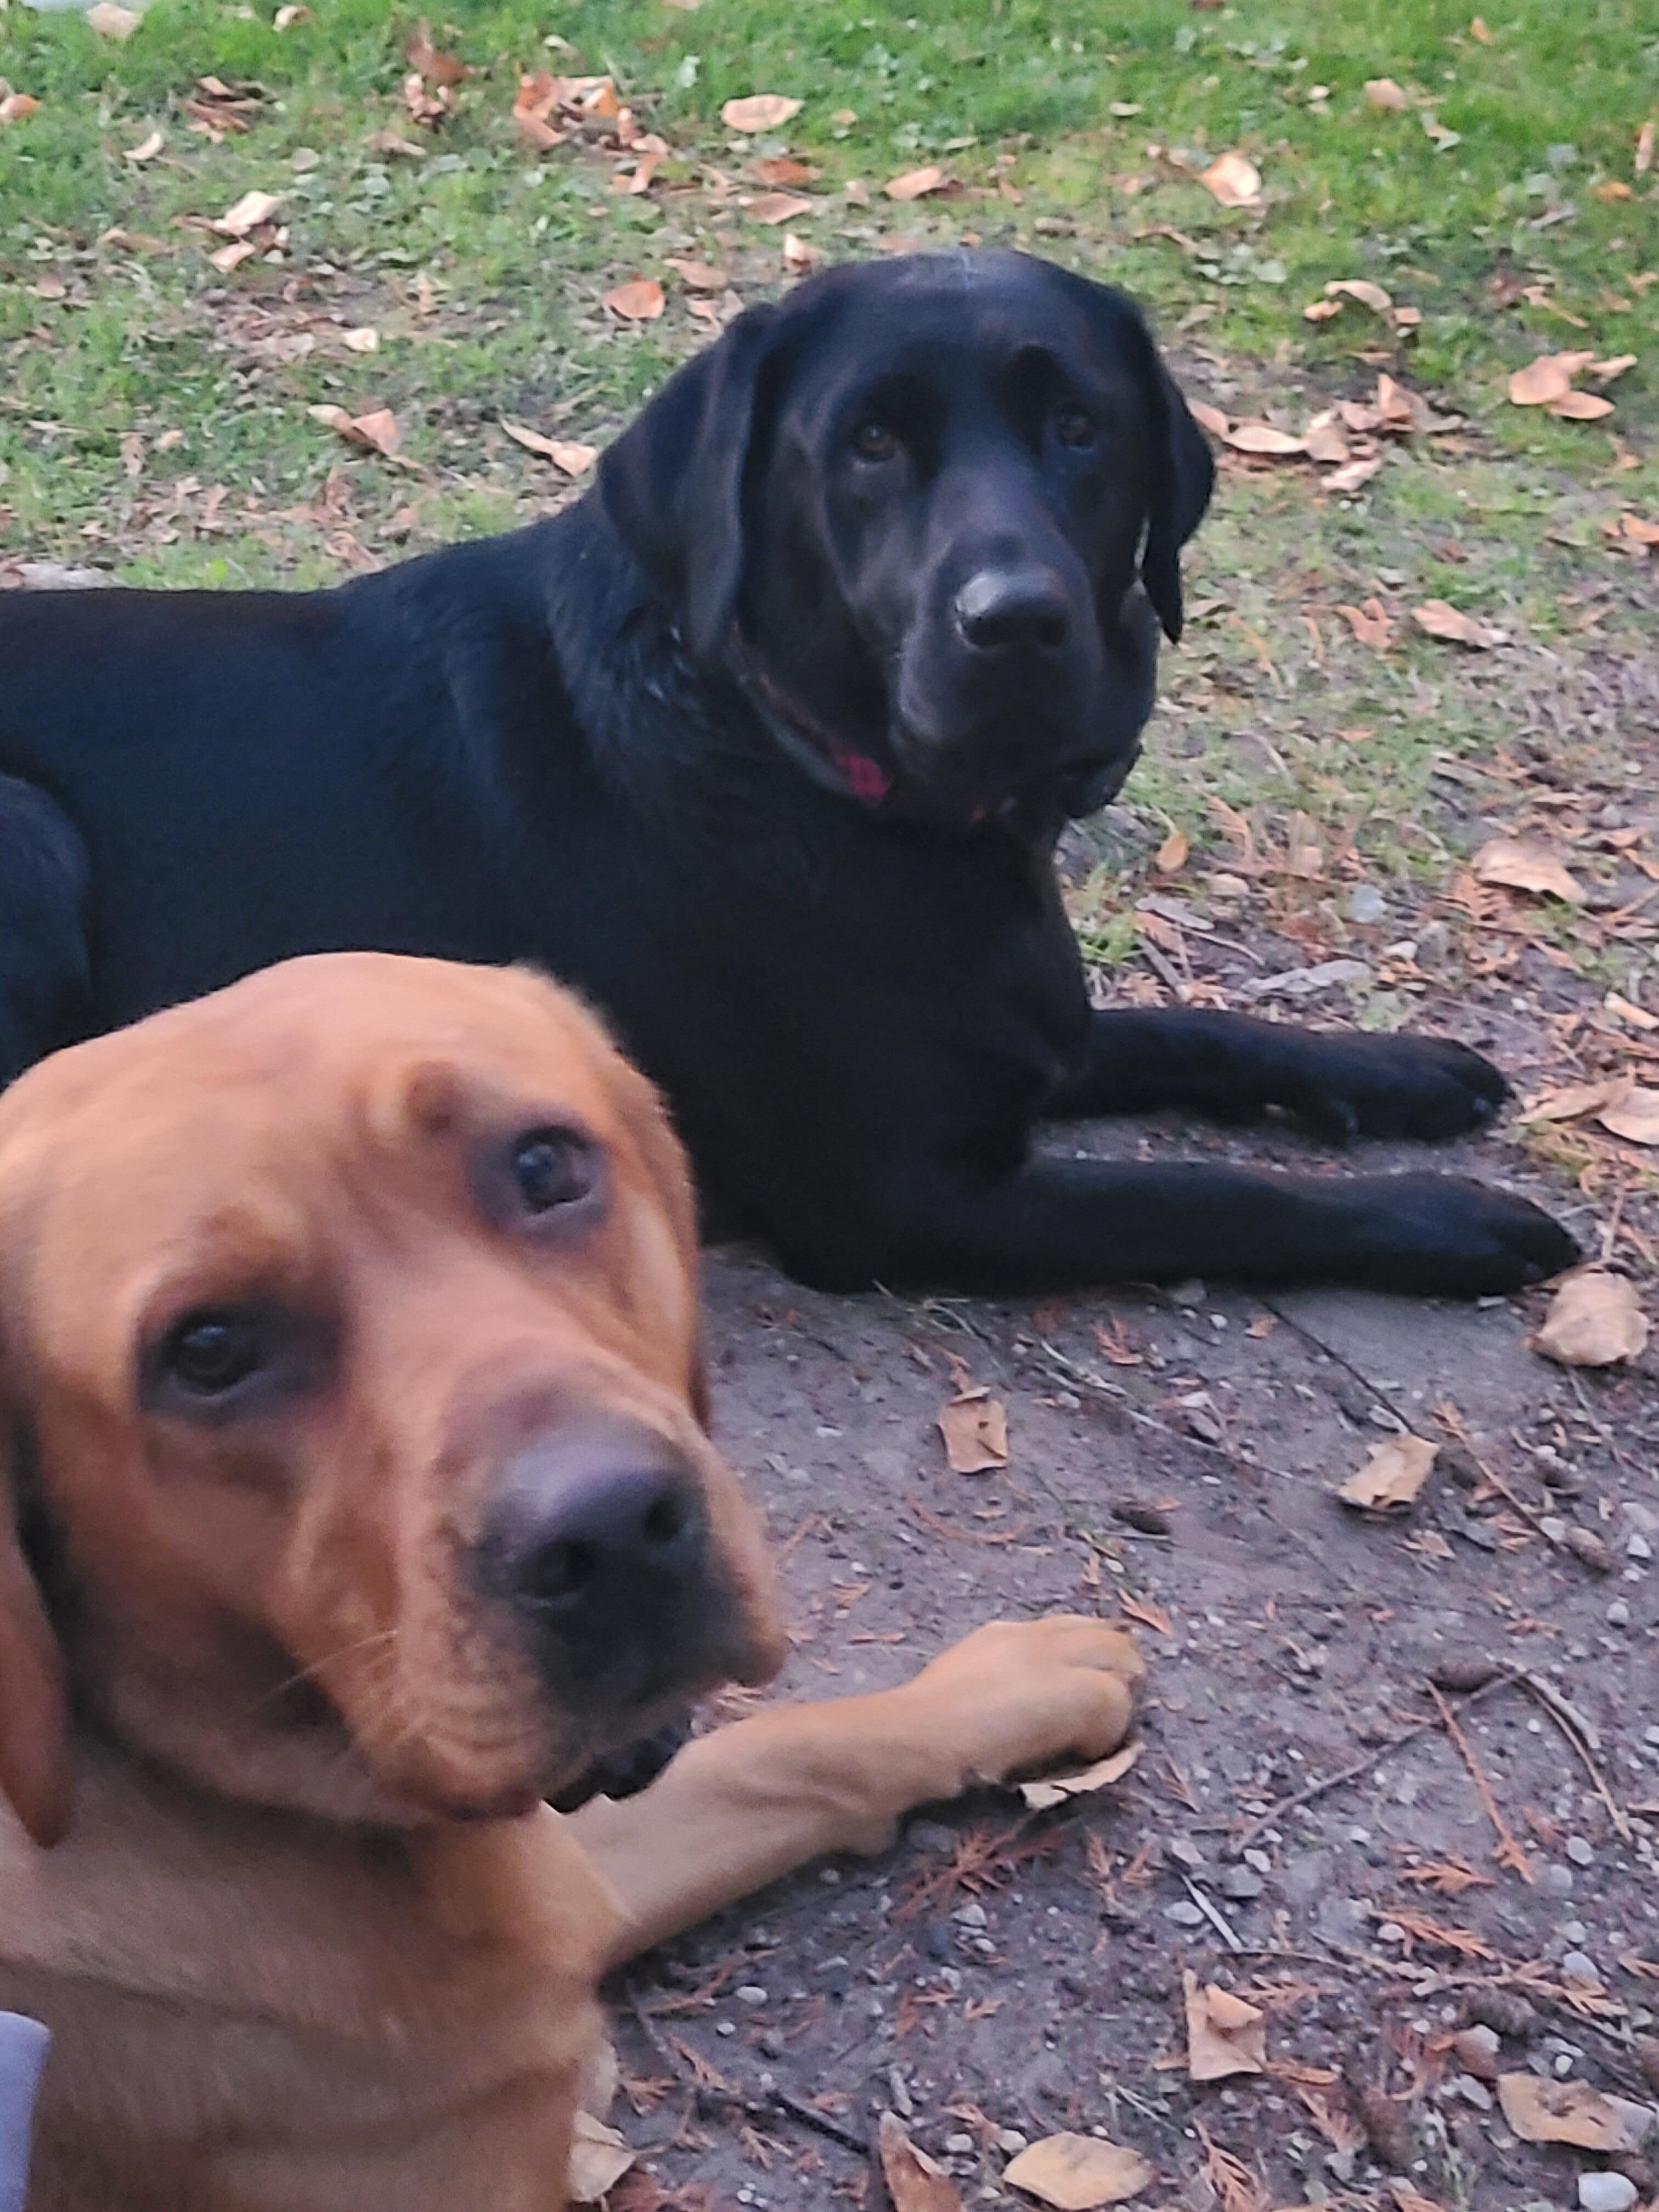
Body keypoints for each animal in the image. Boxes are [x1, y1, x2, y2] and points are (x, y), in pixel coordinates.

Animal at [0, 249, 1575, 1298]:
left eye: (1081, 427)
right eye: (869, 441)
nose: (1016, 622)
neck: (794, 758)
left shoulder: (1019, 1038)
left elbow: (1192, 1031)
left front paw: (1394, 1071)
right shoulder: (901, 1201)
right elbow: (1206, 1199)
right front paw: (1450, 1224)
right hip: (33, 835)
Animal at [0, 950, 1144, 2210]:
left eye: (544, 1164)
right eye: (205, 1350)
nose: (611, 1533)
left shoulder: (564, 1875)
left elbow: (780, 1750)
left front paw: (1005, 1689)